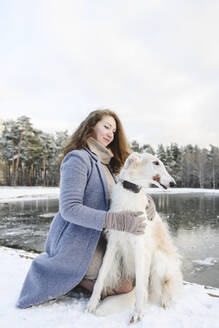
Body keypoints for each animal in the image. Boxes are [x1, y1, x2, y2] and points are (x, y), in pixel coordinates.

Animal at [86, 152, 182, 324]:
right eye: (156, 162)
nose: (173, 183)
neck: (130, 193)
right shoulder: (113, 244)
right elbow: (101, 276)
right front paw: (92, 303)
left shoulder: (140, 247)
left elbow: (141, 290)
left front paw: (137, 313)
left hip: (158, 259)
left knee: (165, 285)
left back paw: (164, 300)